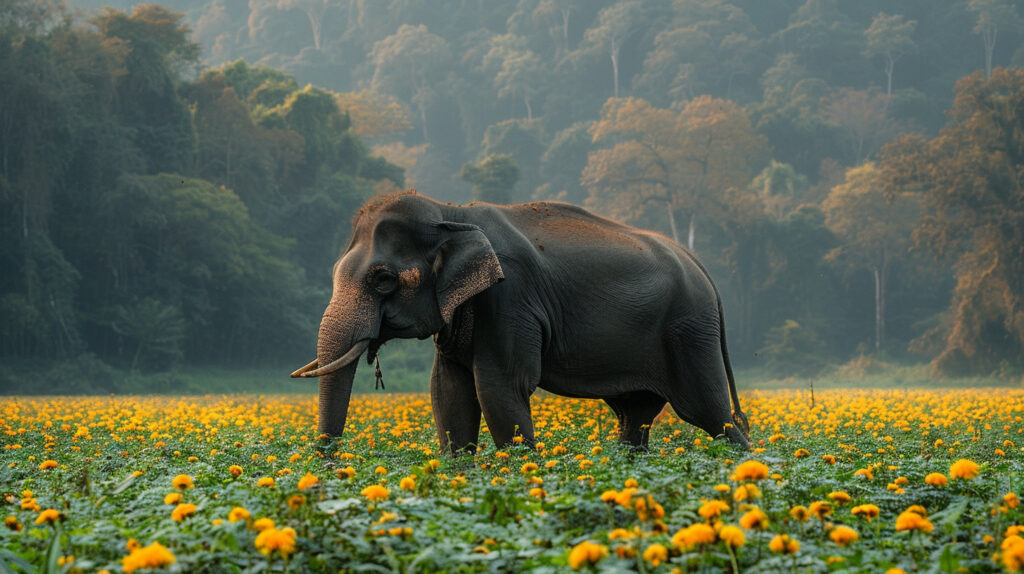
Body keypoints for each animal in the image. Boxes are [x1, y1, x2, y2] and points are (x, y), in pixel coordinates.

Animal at [291, 191, 750, 452]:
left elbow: (499, 387)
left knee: (711, 413)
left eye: (383, 280)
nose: (330, 465)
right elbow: (448, 390)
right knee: (634, 416)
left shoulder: (510, 298)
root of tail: (701, 267)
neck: (450, 212)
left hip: (689, 331)